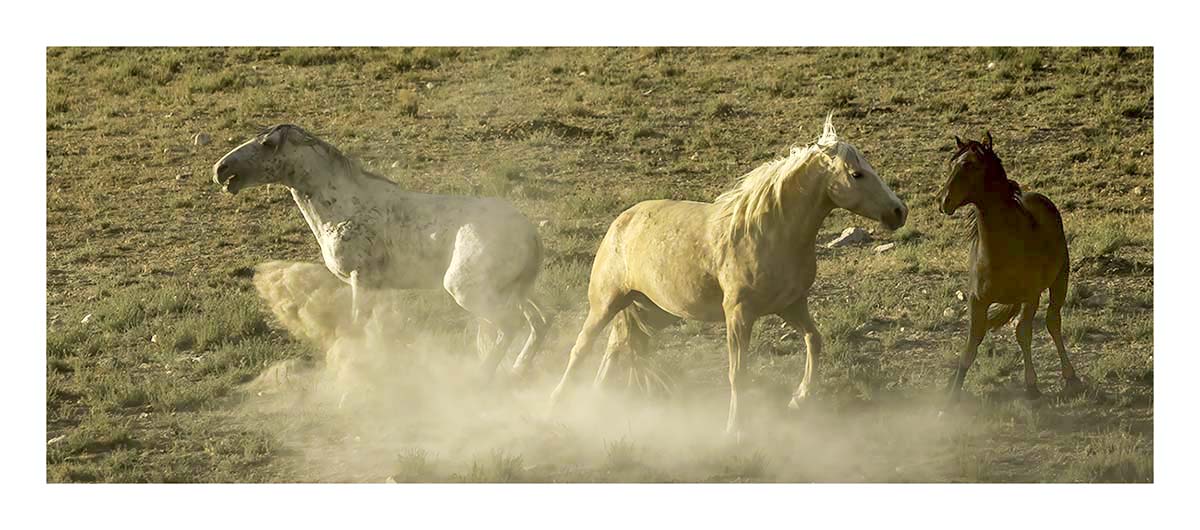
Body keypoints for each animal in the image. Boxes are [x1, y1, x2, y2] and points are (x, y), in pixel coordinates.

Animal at [213, 124, 547, 378]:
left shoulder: (361, 280)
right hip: (516, 292)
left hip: (470, 291)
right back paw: (517, 369)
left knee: (509, 326)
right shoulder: (377, 288)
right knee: (538, 324)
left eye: (268, 143)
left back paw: (481, 377)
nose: (221, 169)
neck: (343, 208)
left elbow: (356, 327)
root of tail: (529, 233)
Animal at [548, 114, 908, 436]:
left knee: (617, 347)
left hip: (653, 310)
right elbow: (738, 373)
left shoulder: (791, 305)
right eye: (857, 174)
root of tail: (621, 221)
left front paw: (799, 399)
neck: (769, 232)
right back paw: (557, 401)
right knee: (582, 346)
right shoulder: (738, 313)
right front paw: (735, 428)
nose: (899, 211)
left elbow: (813, 340)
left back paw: (600, 399)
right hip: (606, 302)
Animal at [938, 132, 1083, 403]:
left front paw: (1032, 386)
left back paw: (1071, 377)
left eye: (970, 165)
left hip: (1060, 281)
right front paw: (951, 394)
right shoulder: (977, 301)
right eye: (952, 163)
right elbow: (972, 343)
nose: (943, 201)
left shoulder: (1031, 297)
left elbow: (1023, 334)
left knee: (1053, 322)